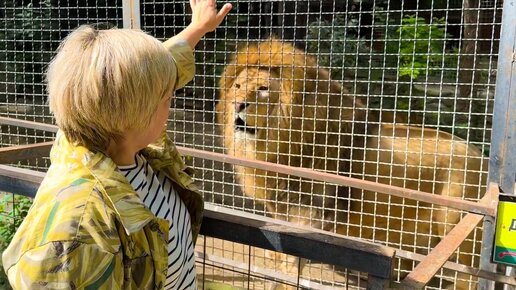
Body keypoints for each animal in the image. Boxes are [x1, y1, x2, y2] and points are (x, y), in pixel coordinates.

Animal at [215, 39, 488, 290]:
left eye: (262, 89)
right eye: (237, 86)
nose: (237, 104)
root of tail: (481, 157)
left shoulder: (311, 214)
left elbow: (291, 265)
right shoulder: (282, 208)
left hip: (459, 232)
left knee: (467, 276)